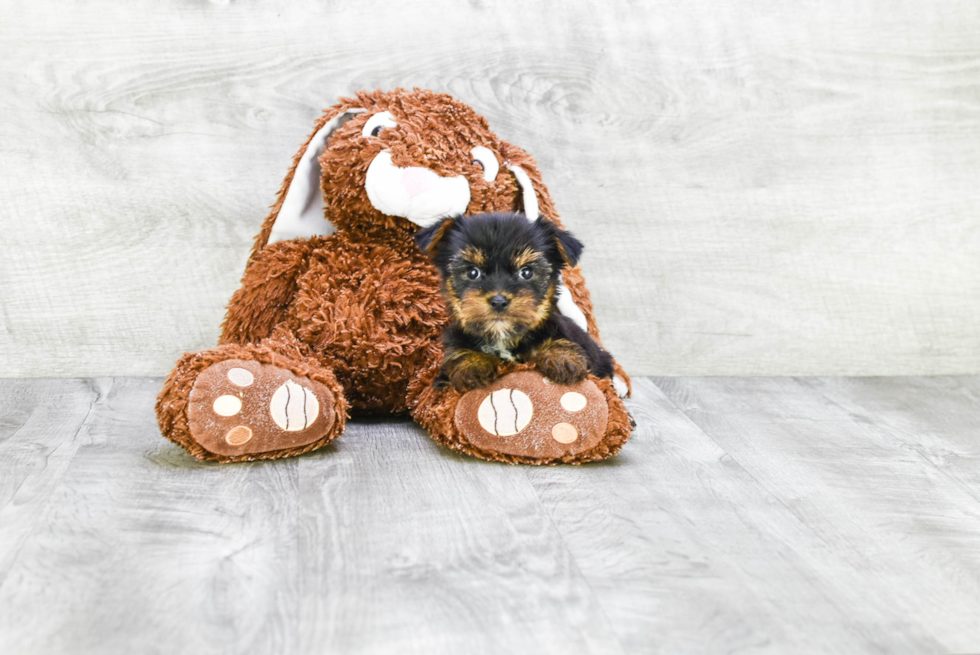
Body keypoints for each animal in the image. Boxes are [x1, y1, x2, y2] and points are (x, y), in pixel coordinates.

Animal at [414, 213, 612, 392]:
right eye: (472, 272)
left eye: (526, 272)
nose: (499, 301)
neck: (503, 338)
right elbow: (457, 354)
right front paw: (472, 363)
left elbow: (560, 340)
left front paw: (563, 358)